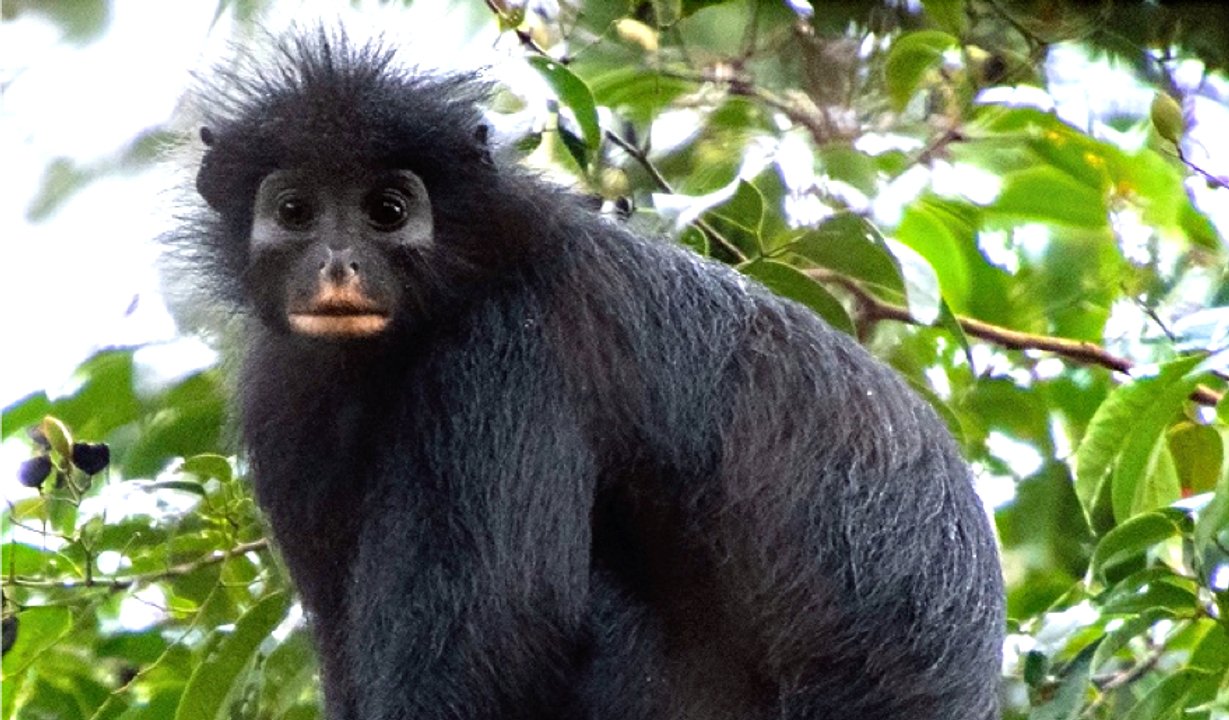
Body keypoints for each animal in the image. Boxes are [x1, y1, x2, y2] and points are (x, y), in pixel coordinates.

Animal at [168, 29, 1004, 720]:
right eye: (295, 210)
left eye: (386, 210)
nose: (338, 264)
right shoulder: (285, 396)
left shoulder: (507, 351)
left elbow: (502, 627)